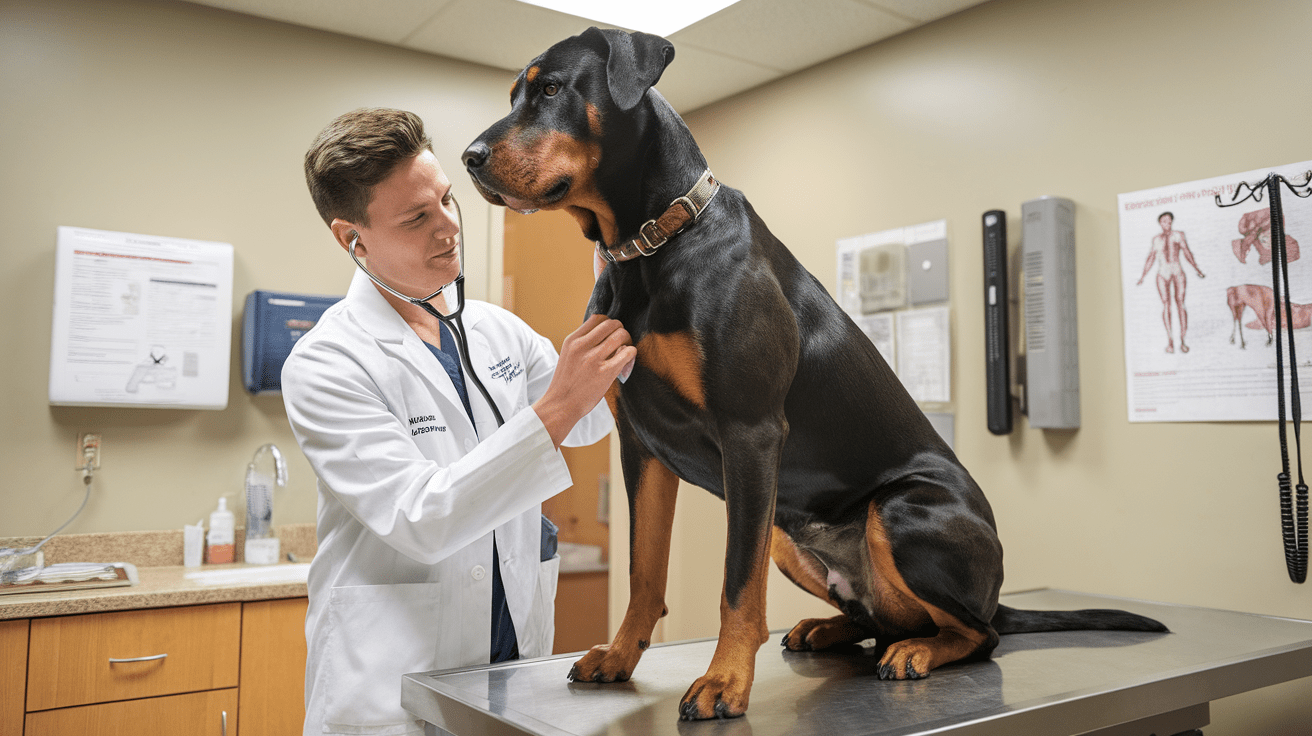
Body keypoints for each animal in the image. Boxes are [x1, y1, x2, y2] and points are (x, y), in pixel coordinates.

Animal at [464, 27, 1170, 718]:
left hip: (900, 510)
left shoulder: (750, 434)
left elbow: (735, 583)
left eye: (551, 89)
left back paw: (918, 651)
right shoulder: (642, 447)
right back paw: (829, 629)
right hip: (785, 531)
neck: (651, 245)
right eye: (512, 94)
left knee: (978, 632)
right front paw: (619, 655)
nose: (470, 157)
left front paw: (724, 681)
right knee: (885, 619)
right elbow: (644, 568)